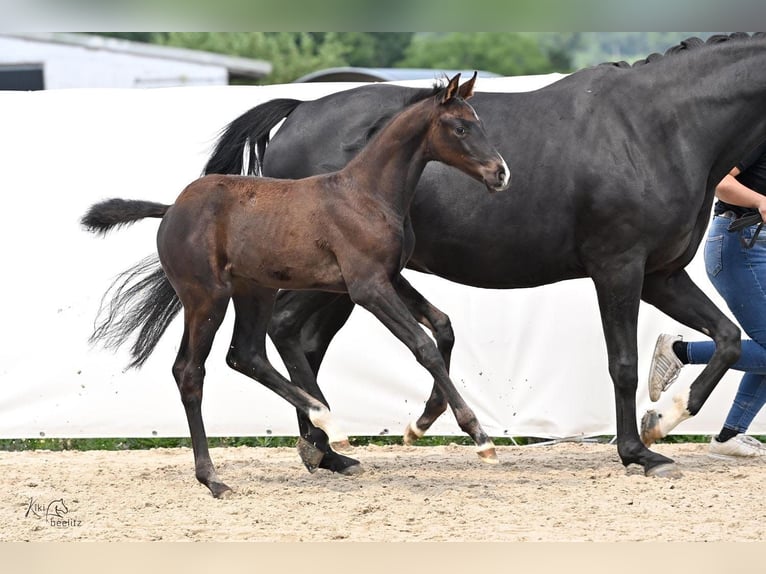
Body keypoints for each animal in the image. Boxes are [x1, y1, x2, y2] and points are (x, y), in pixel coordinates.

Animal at [202, 33, 766, 480]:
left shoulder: (660, 275)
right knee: (288, 333)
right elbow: (623, 363)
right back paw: (327, 440)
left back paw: (327, 448)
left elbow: (728, 338)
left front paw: (662, 420)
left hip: (339, 284)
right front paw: (638, 452)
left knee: (304, 339)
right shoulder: (619, 270)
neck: (655, 129)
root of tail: (298, 111)